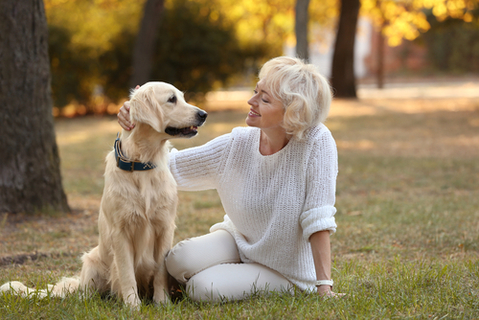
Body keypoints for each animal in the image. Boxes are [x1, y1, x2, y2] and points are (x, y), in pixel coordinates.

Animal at [1, 81, 208, 306]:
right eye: (172, 99)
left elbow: (161, 270)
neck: (142, 164)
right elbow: (126, 273)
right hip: (91, 263)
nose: (203, 114)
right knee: (87, 294)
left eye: (183, 97)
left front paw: (162, 304)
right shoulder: (120, 232)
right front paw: (133, 306)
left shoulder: (164, 226)